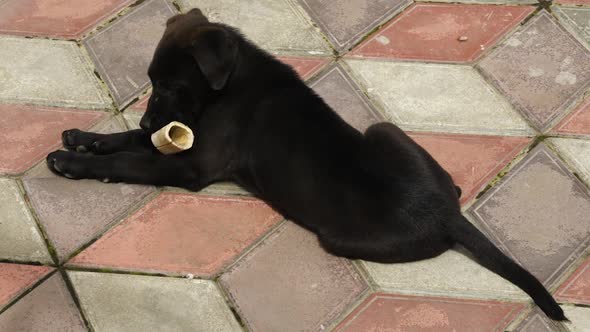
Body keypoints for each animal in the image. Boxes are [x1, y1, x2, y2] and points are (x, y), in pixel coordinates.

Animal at [48, 8, 568, 320]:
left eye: (171, 85)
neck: (230, 82)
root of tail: (448, 216)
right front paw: (84, 139)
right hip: (383, 131)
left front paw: (73, 161)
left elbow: (136, 160)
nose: (147, 115)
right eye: (152, 81)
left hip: (336, 237)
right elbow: (134, 141)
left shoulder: (194, 166)